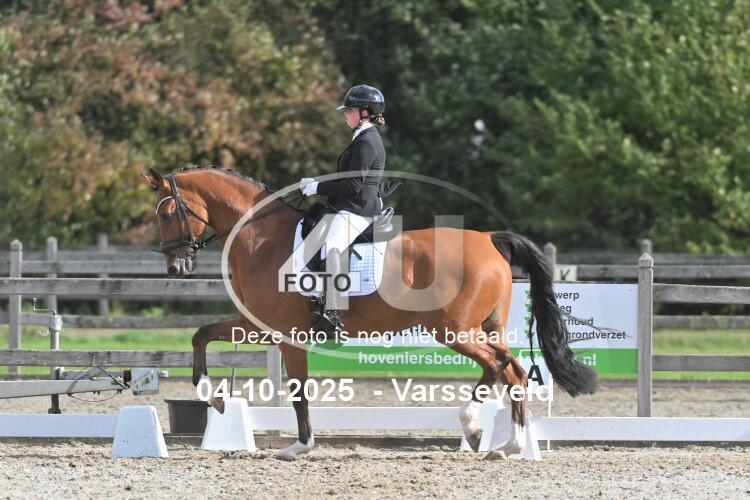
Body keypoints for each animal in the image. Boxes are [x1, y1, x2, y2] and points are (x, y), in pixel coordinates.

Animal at [142, 165, 598, 460]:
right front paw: (213, 396)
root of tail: (488, 238)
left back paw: (487, 433)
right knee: (510, 370)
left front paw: (300, 445)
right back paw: (502, 442)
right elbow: (201, 334)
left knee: (502, 367)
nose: (175, 266)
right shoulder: (258, 326)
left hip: (454, 331)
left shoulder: (285, 334)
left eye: (167, 212)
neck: (263, 238)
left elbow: (298, 390)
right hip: (483, 328)